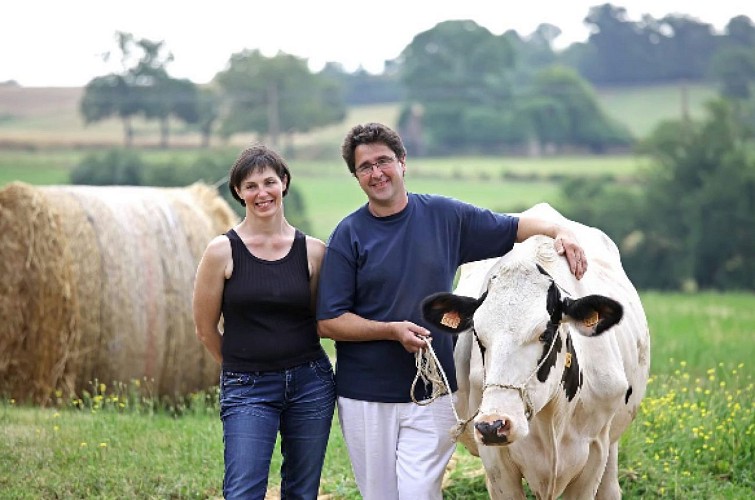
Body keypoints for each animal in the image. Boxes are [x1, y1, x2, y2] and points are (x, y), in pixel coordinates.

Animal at [422, 204, 648, 500]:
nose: (493, 425)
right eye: (478, 336)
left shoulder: (594, 454)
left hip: (610, 445)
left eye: (545, 333)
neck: (553, 414)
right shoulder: (497, 464)